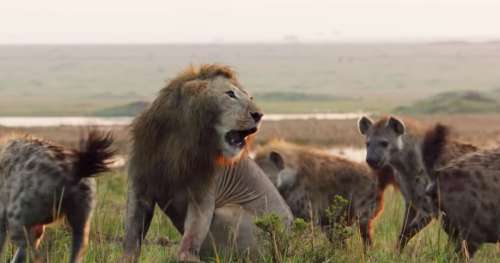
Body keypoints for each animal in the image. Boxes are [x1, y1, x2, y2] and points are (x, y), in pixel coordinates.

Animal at [122, 64, 292, 263]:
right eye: (230, 94)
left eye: (250, 98)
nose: (259, 115)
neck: (177, 142)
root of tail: (289, 242)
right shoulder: (140, 186)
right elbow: (132, 234)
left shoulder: (202, 195)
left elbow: (192, 236)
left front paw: (187, 257)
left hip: (229, 214)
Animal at [254, 141, 394, 249]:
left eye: (265, 177)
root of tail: (377, 177)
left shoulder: (308, 212)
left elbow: (303, 234)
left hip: (363, 211)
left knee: (366, 237)